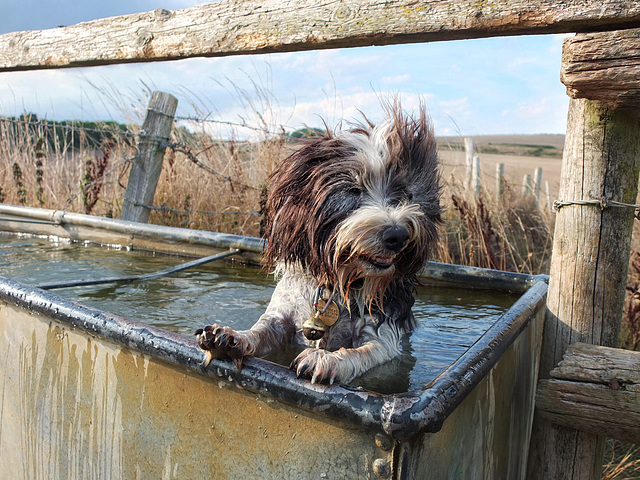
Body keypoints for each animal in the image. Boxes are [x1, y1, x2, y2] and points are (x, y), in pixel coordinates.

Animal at [195, 103, 440, 384]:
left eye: (402, 194)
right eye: (353, 189)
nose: (398, 236)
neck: (340, 281)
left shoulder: (383, 336)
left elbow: (363, 351)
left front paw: (327, 359)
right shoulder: (281, 317)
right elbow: (261, 330)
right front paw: (230, 337)